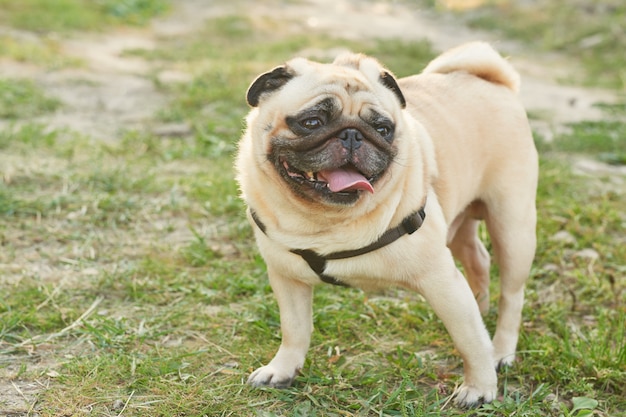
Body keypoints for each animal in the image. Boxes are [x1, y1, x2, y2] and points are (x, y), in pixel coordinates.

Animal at [234, 40, 536, 404]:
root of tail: (492, 81)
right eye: (312, 121)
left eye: (382, 129)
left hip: (513, 227)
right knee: (478, 260)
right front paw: (282, 369)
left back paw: (501, 351)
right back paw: (481, 307)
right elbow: (294, 330)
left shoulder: (441, 280)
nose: (352, 135)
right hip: (460, 225)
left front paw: (479, 387)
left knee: (512, 294)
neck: (326, 220)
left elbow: (469, 341)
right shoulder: (287, 279)